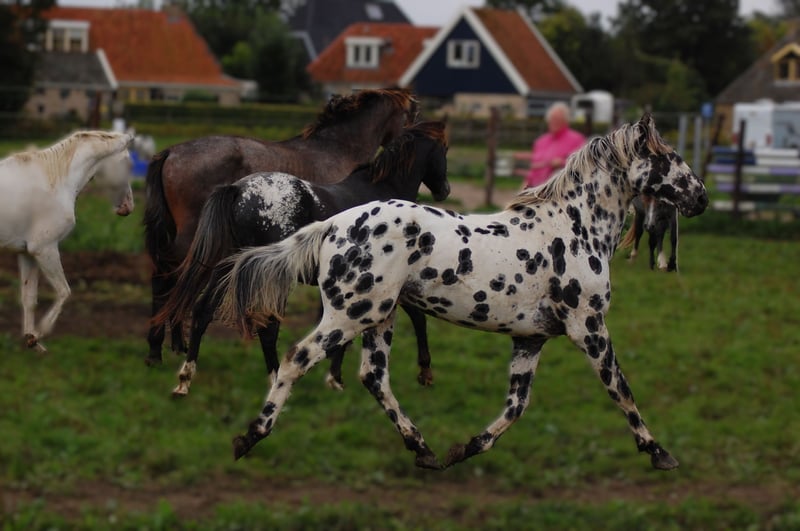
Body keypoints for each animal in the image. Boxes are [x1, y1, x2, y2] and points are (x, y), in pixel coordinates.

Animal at [0, 130, 134, 351]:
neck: (57, 182)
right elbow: (64, 292)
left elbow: (29, 298)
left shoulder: (27, 253)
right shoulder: (45, 250)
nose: (128, 207)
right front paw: (39, 334)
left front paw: (32, 340)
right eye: (129, 165)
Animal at [143, 88, 418, 366]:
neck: (336, 150)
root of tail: (171, 152)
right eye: (413, 114)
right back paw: (160, 347)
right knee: (172, 277)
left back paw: (171, 344)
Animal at [153, 121, 450, 396]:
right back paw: (276, 380)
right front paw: (425, 371)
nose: (445, 191)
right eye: (445, 148)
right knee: (267, 326)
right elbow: (417, 317)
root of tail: (237, 190)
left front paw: (334, 375)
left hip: (226, 267)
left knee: (202, 311)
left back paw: (185, 379)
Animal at [216, 114, 708, 470]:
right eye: (669, 157)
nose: (702, 197)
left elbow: (516, 406)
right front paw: (658, 452)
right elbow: (620, 388)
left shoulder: (530, 338)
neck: (575, 228)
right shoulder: (588, 326)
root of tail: (333, 224)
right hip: (351, 314)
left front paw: (465, 449)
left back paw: (424, 449)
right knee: (295, 359)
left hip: (379, 317)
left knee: (373, 377)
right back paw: (249, 438)